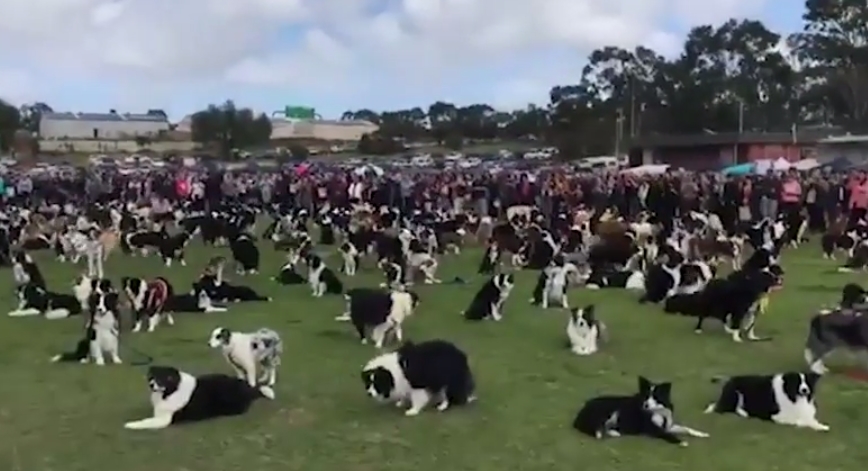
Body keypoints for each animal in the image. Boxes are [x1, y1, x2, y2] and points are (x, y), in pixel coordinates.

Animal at [122, 366, 274, 432]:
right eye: (152, 376)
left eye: (163, 377)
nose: (152, 384)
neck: (173, 390)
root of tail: (248, 388)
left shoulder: (164, 419)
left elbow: (145, 422)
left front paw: (130, 424)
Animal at [572, 376, 708, 446]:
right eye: (646, 396)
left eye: (655, 397)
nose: (646, 405)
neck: (657, 410)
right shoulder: (652, 429)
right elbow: (666, 434)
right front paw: (681, 442)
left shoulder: (668, 425)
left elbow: (686, 428)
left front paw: (701, 434)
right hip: (609, 411)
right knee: (598, 428)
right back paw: (613, 432)